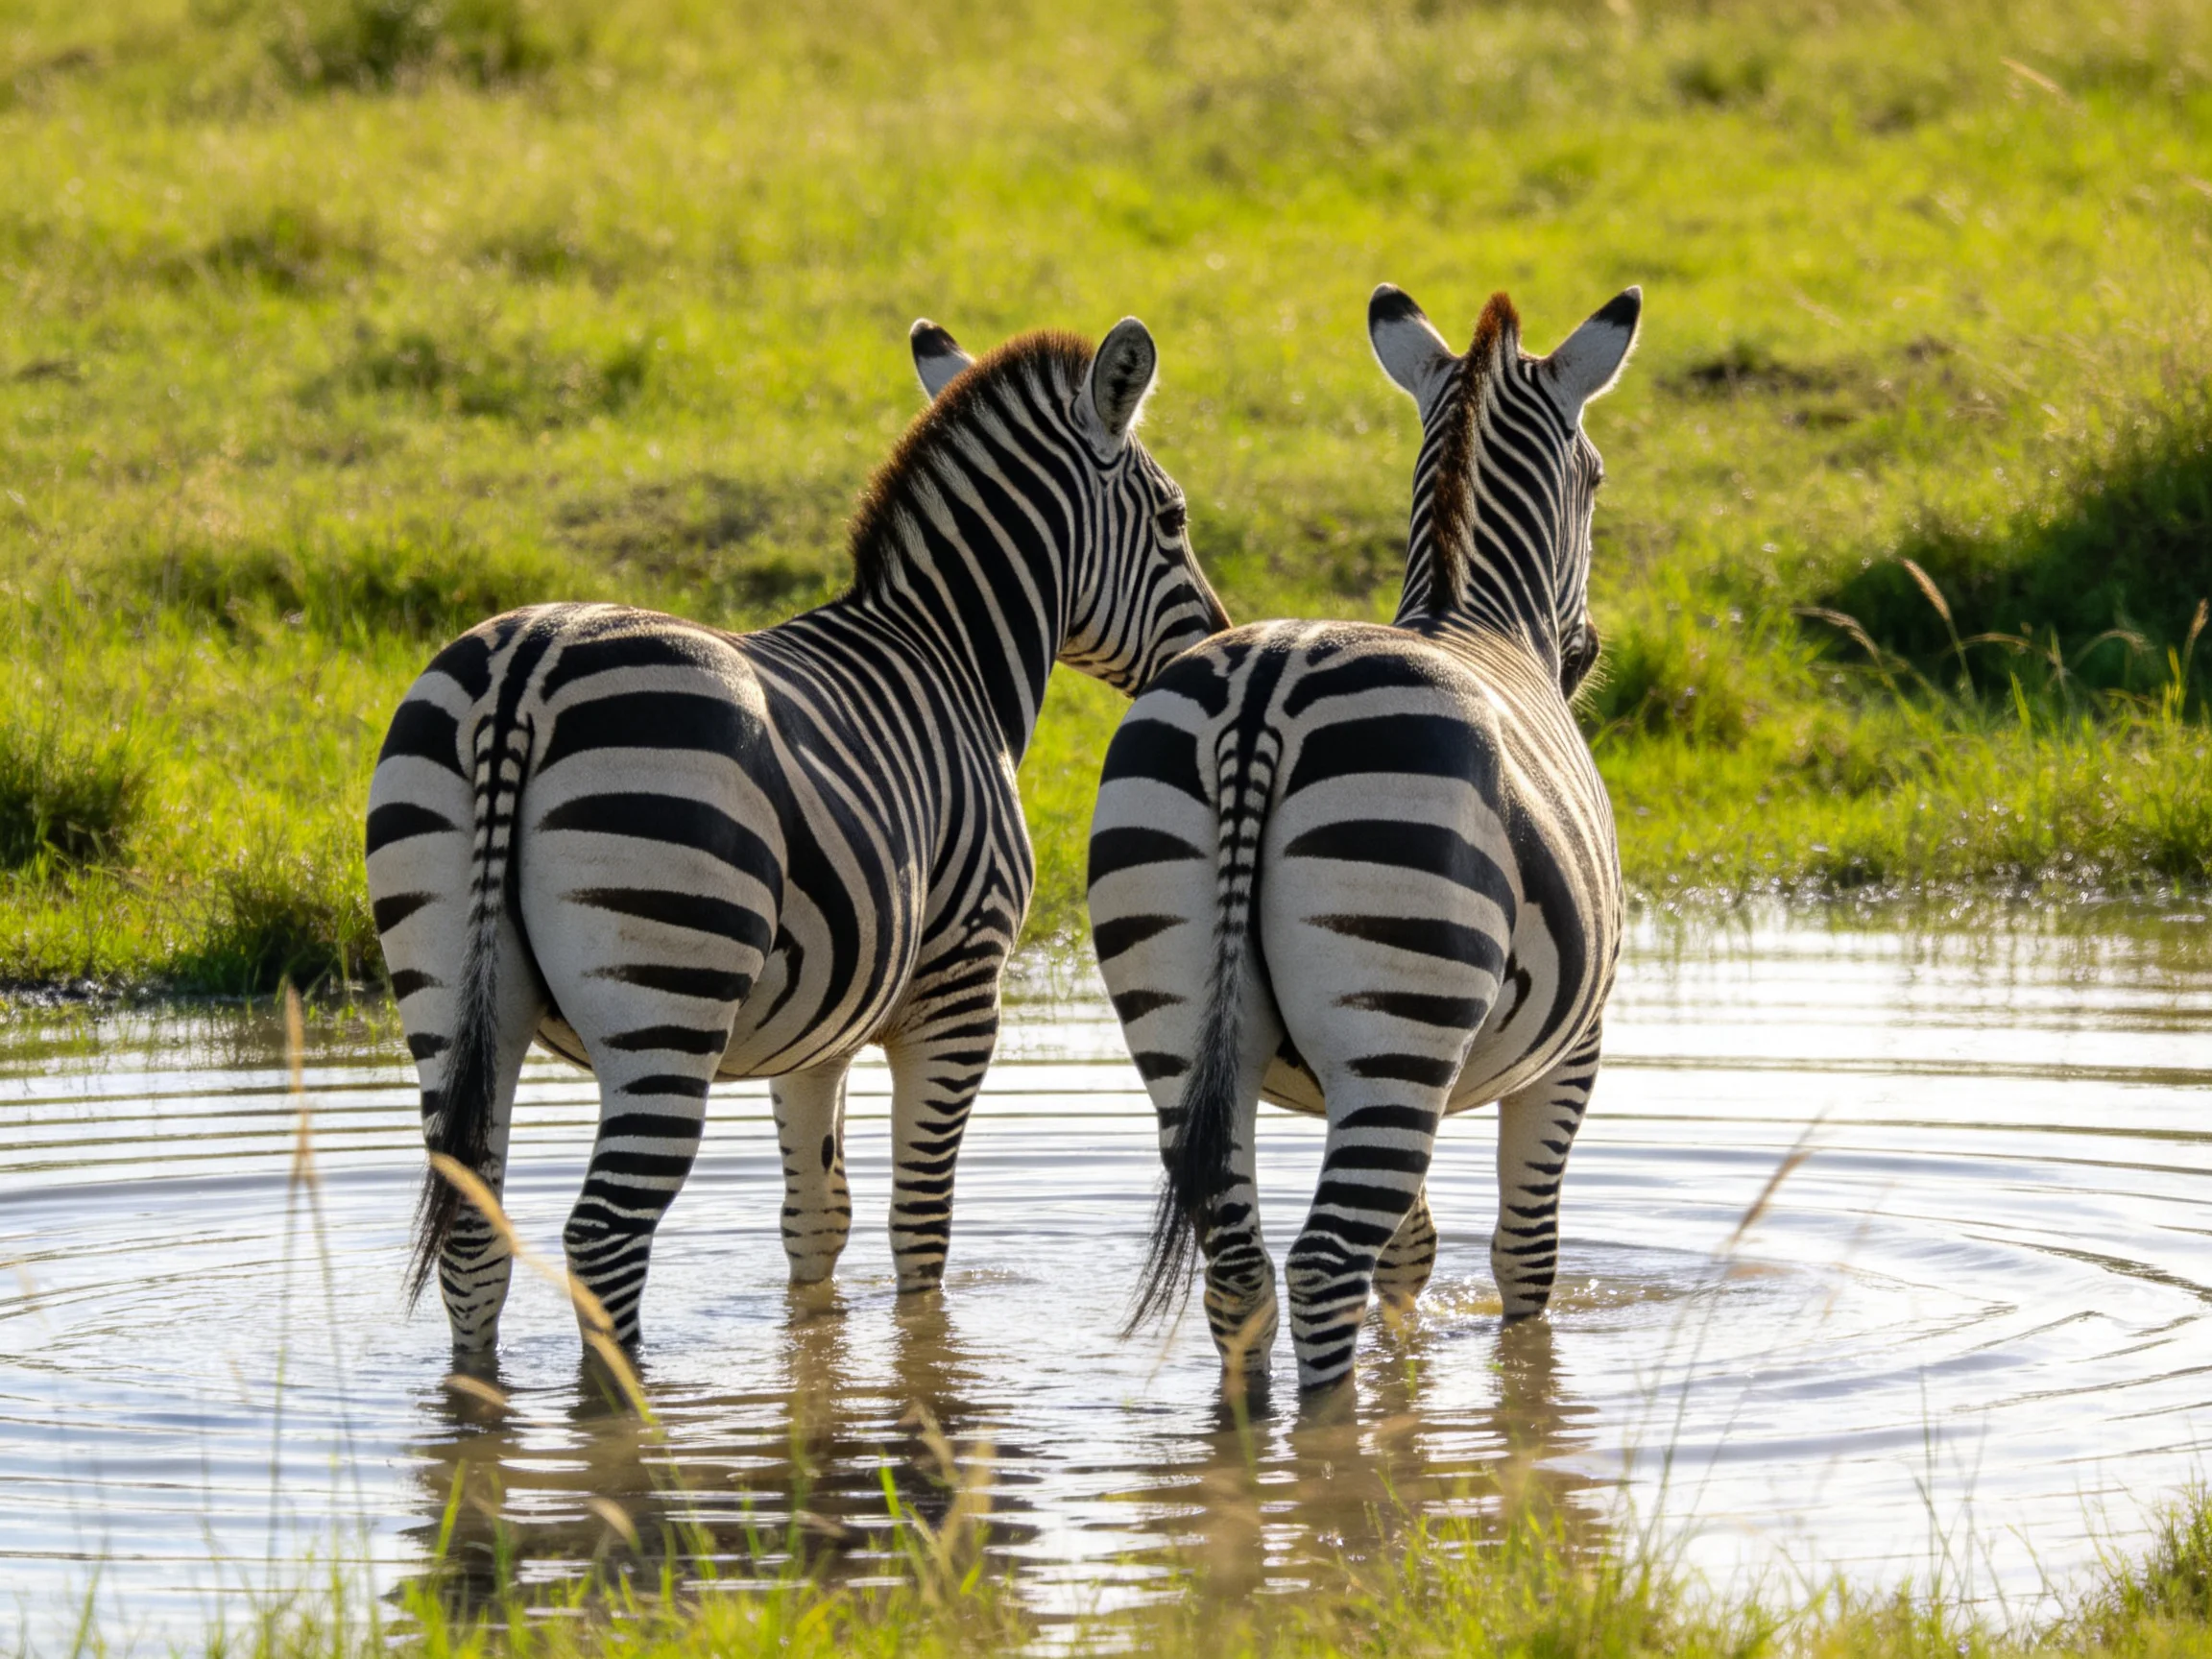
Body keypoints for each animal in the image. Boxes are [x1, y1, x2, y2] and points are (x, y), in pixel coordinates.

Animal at [367, 316, 1228, 1362]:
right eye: (1174, 521)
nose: (1217, 645)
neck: (953, 658)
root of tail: (525, 672)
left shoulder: (819, 1029)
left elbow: (818, 1220)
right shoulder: (959, 992)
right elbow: (919, 1230)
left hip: (448, 993)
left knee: (474, 1237)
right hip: (666, 993)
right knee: (603, 1239)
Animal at [1090, 282, 1641, 1393]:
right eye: (1597, 477)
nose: (1585, 657)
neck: (1477, 614)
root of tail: (1264, 690)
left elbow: (1413, 1251)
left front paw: (1410, 1381)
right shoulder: (1574, 1047)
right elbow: (1526, 1255)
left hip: (1178, 1018)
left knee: (1243, 1269)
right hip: (1398, 1026)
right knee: (1320, 1265)